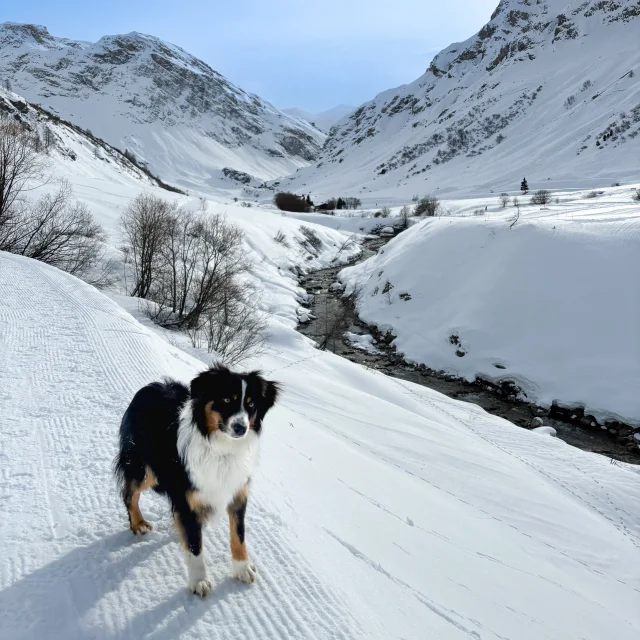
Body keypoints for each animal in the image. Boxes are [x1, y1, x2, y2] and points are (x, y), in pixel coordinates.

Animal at [114, 364, 278, 596]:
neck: (221, 449)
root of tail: (152, 386)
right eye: (226, 399)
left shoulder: (237, 493)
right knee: (129, 493)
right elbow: (194, 544)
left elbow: (239, 534)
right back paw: (138, 524)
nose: (241, 428)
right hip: (144, 468)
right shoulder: (186, 499)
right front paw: (199, 580)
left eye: (251, 404)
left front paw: (242, 568)